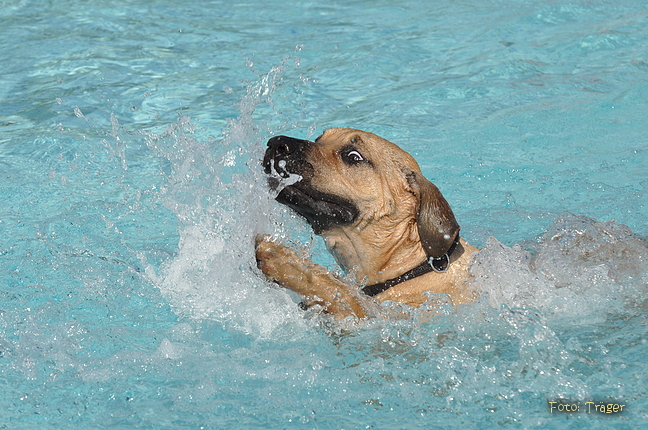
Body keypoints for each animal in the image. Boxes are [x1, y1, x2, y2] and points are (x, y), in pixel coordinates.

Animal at [256, 127, 478, 320]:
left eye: (353, 156)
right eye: (319, 139)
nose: (276, 144)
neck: (412, 266)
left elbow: (342, 292)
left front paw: (285, 261)